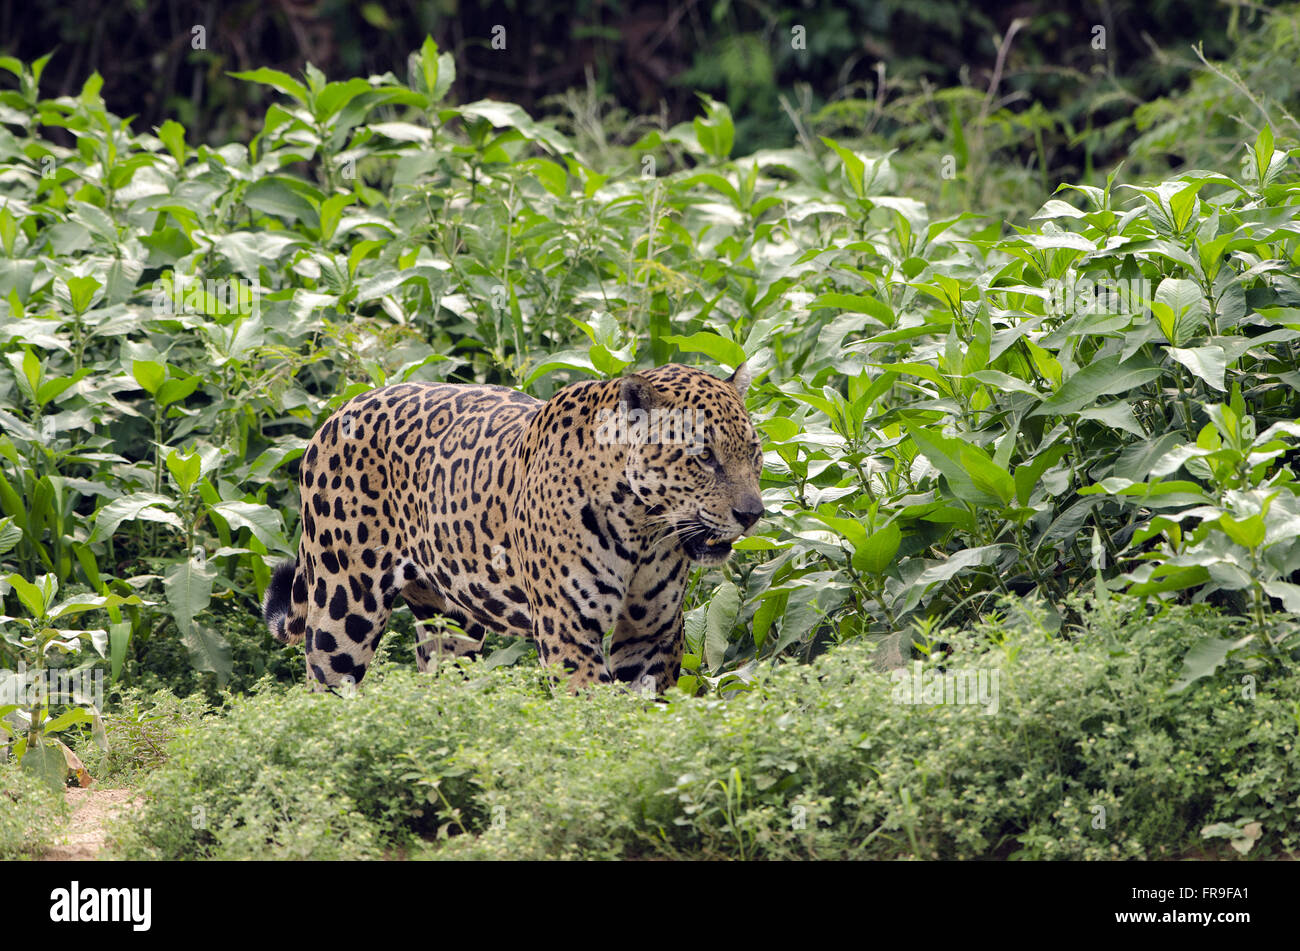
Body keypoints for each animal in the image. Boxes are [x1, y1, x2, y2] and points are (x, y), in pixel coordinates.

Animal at [262, 361, 765, 694]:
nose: (753, 514)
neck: (641, 528)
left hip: (452, 620)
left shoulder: (651, 637)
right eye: (703, 456)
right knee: (324, 688)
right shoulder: (568, 632)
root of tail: (337, 412)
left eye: (754, 452)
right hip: (343, 610)